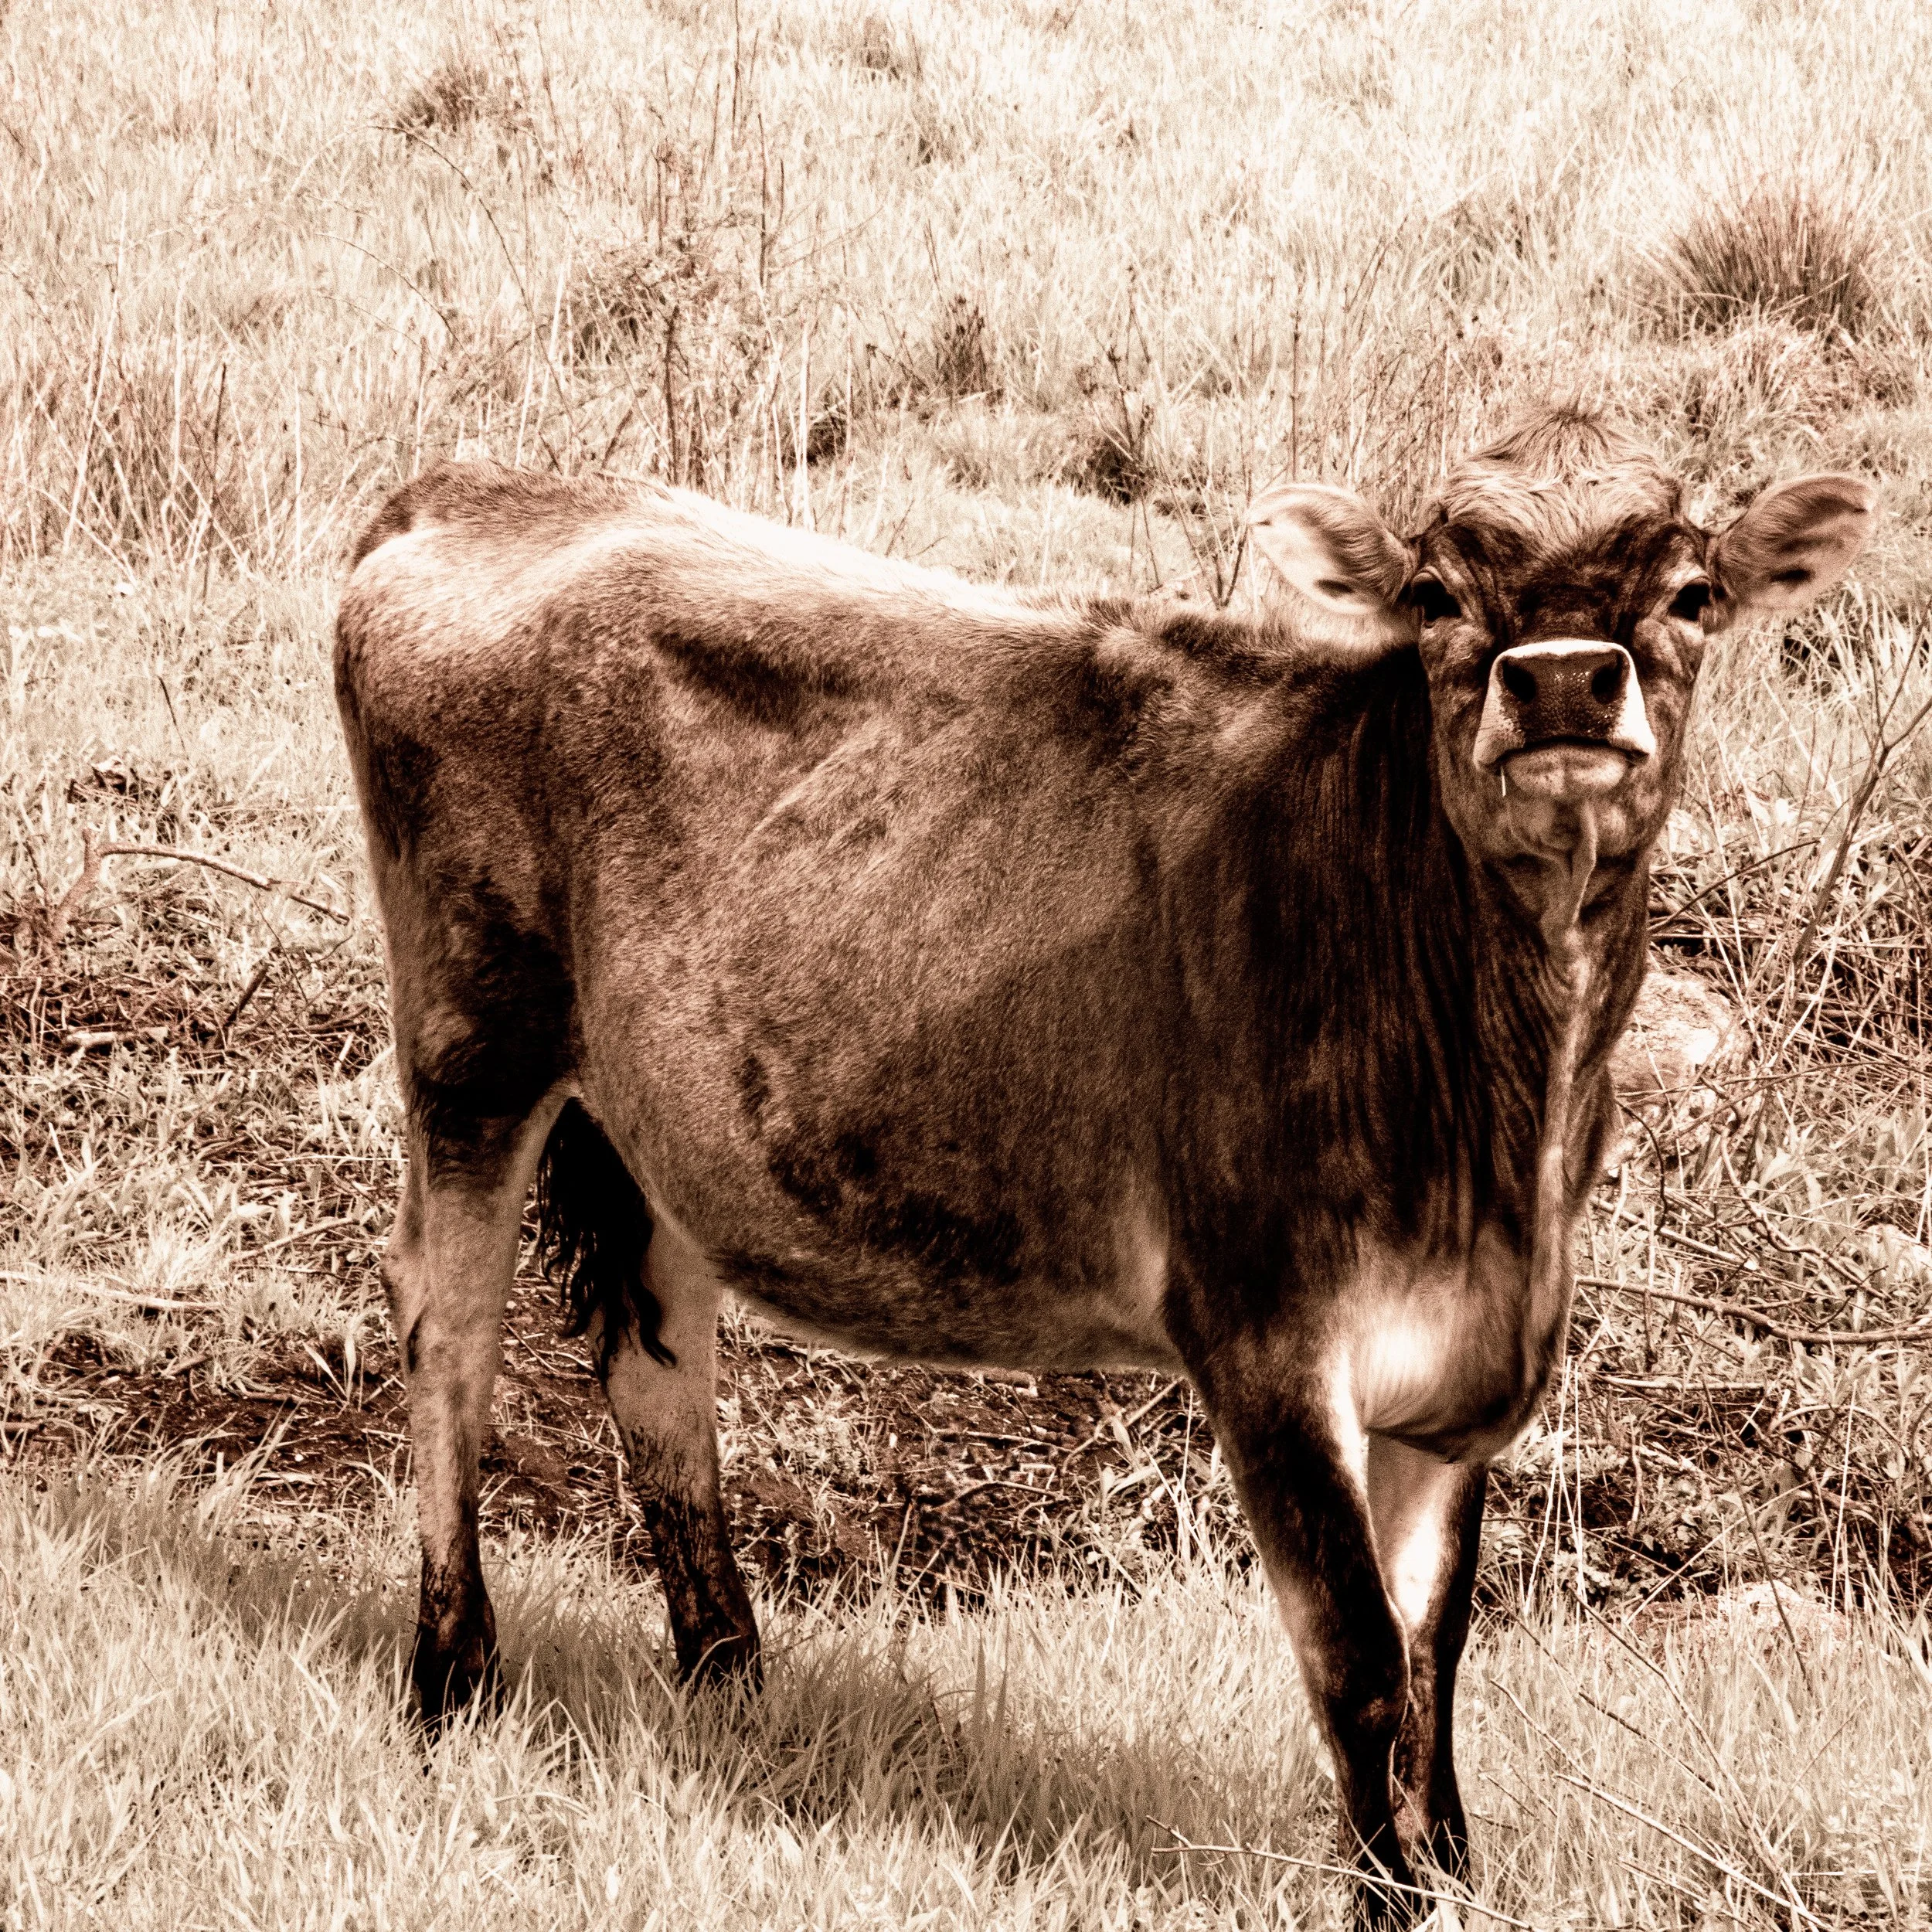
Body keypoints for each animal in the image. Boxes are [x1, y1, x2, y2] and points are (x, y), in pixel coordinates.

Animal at [334, 408, 1870, 1921]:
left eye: (1691, 592)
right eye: (1436, 596)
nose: (1559, 683)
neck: (1504, 1140)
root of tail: (476, 483)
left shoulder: (1453, 1378)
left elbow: (1437, 1659)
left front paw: (1450, 1878)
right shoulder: (1267, 1337)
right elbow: (1364, 1662)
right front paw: (1388, 1898)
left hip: (665, 1114)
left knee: (657, 1348)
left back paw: (730, 1683)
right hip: (473, 1037)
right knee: (449, 1327)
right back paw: (453, 1675)